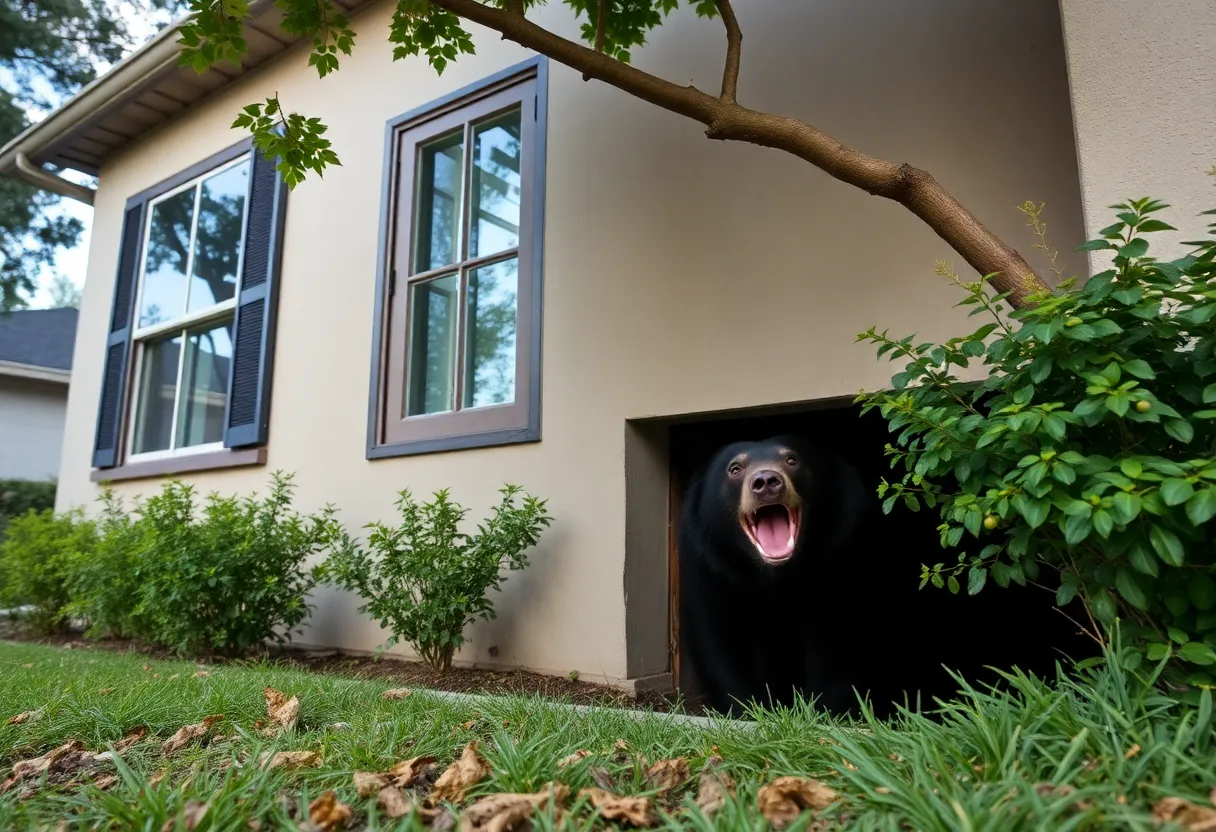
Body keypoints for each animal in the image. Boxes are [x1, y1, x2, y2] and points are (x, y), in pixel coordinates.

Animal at [677, 433, 872, 717]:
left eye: (792, 460)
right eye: (735, 469)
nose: (766, 481)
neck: (774, 575)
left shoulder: (841, 553)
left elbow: (839, 639)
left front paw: (823, 712)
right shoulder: (710, 567)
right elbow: (721, 642)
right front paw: (750, 710)